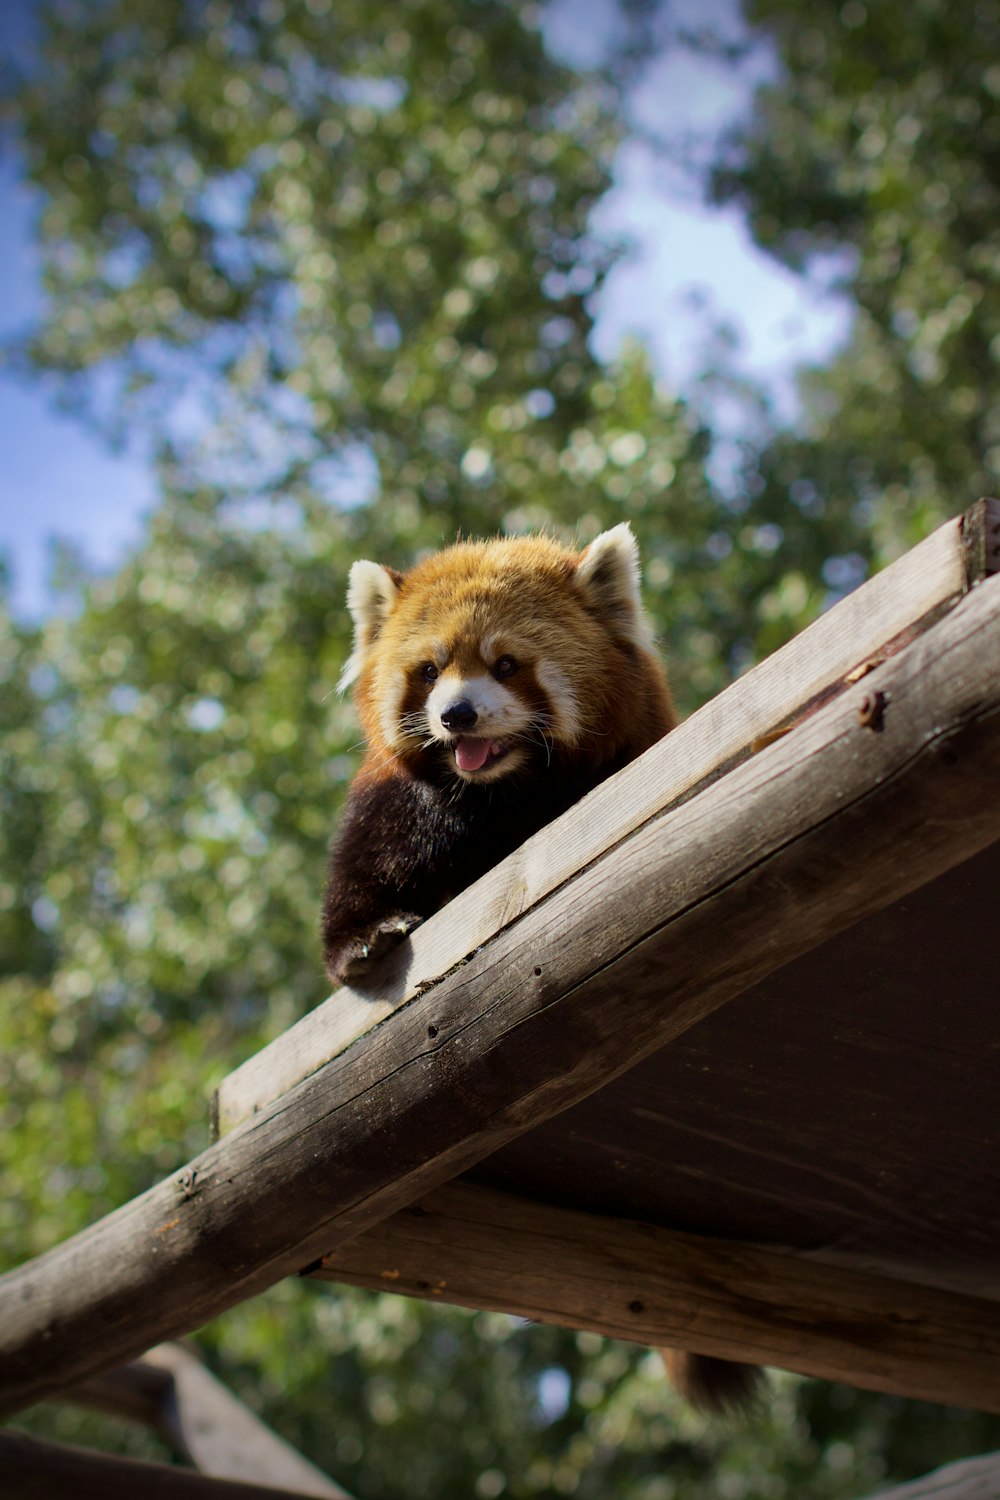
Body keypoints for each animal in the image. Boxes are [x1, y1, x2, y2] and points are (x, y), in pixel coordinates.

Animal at [325, 525, 761, 1416]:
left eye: (506, 664)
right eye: (429, 670)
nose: (456, 714)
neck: (500, 790)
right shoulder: (399, 807)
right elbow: (364, 872)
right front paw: (367, 939)